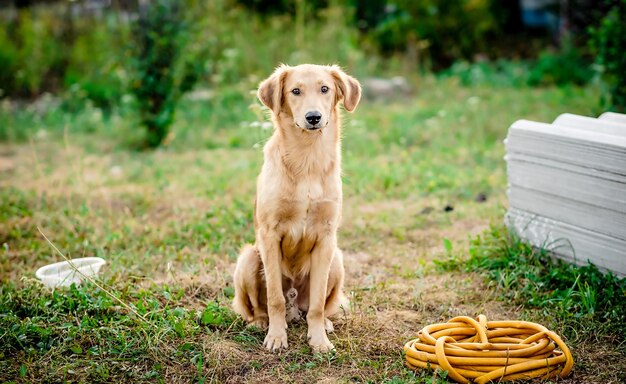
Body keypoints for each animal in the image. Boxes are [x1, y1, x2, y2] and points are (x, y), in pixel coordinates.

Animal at [230, 63, 358, 354]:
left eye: (325, 89)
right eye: (295, 91)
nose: (313, 117)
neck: (307, 159)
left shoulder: (326, 237)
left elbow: (318, 305)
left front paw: (319, 340)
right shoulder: (269, 233)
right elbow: (275, 298)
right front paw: (277, 337)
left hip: (337, 260)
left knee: (317, 307)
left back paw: (325, 324)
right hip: (249, 258)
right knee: (261, 306)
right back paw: (260, 322)